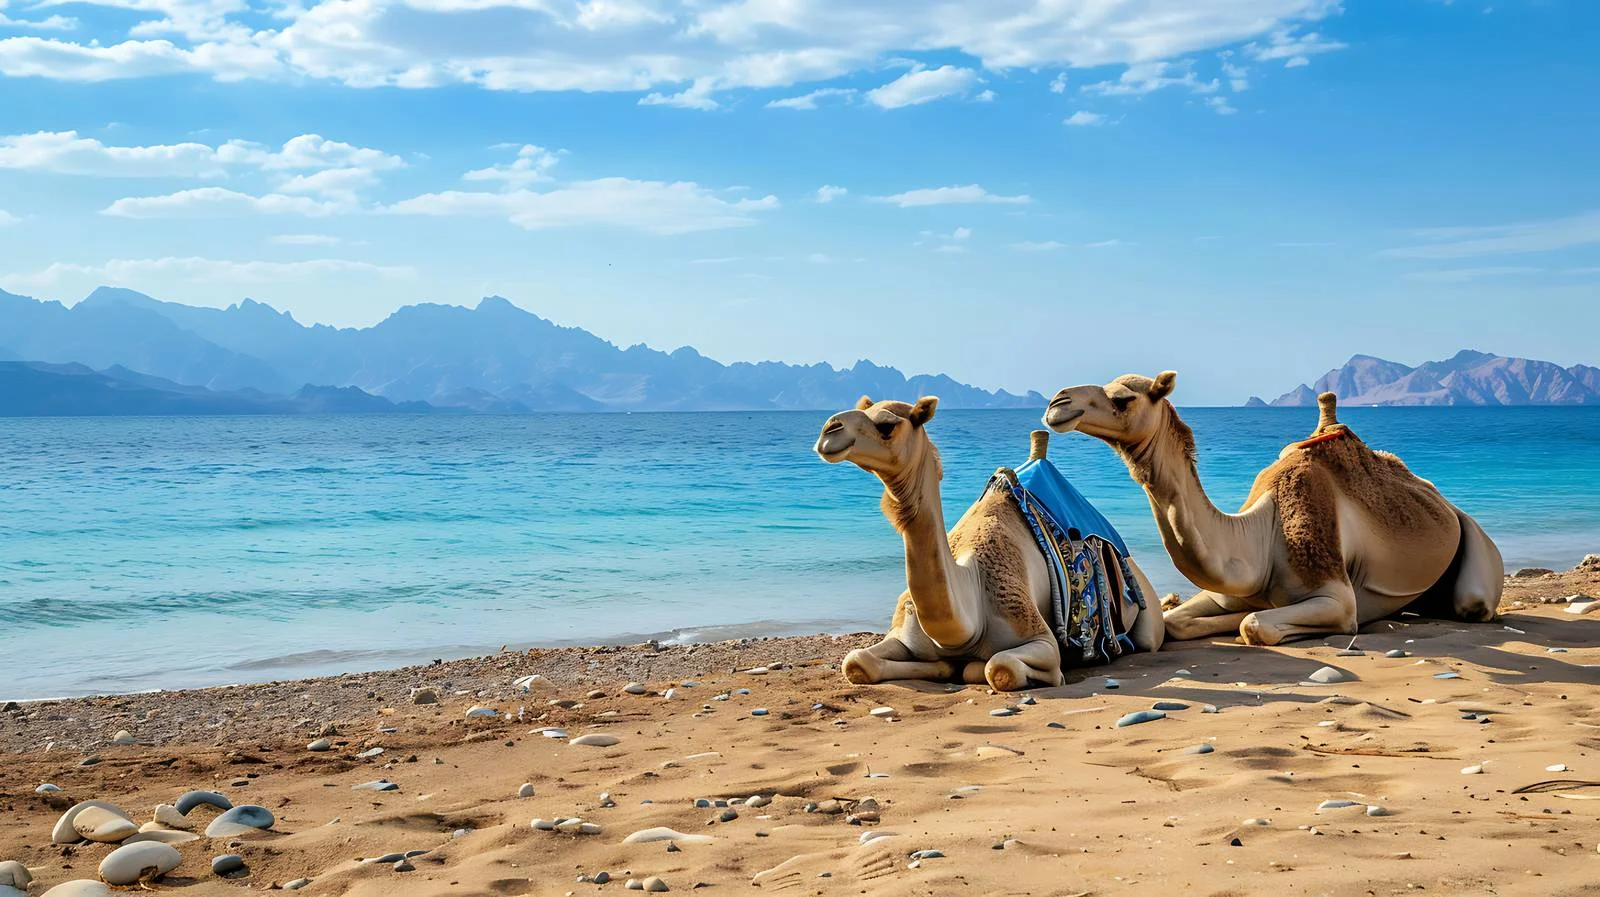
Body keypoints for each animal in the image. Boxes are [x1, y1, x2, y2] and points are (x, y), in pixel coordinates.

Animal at [815, 395, 1164, 691]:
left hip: (1145, 611)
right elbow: (856, 661)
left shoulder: (1040, 638)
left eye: (887, 425)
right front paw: (942, 667)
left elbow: (996, 667)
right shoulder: (904, 634)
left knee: (1148, 639)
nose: (830, 430)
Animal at [1042, 372, 1503, 645]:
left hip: (1474, 547)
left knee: (1473, 602)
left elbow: (1255, 625)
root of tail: (1444, 502)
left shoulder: (1337, 596)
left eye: (1122, 399)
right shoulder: (1229, 590)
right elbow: (1183, 621)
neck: (1259, 538)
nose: (1057, 402)